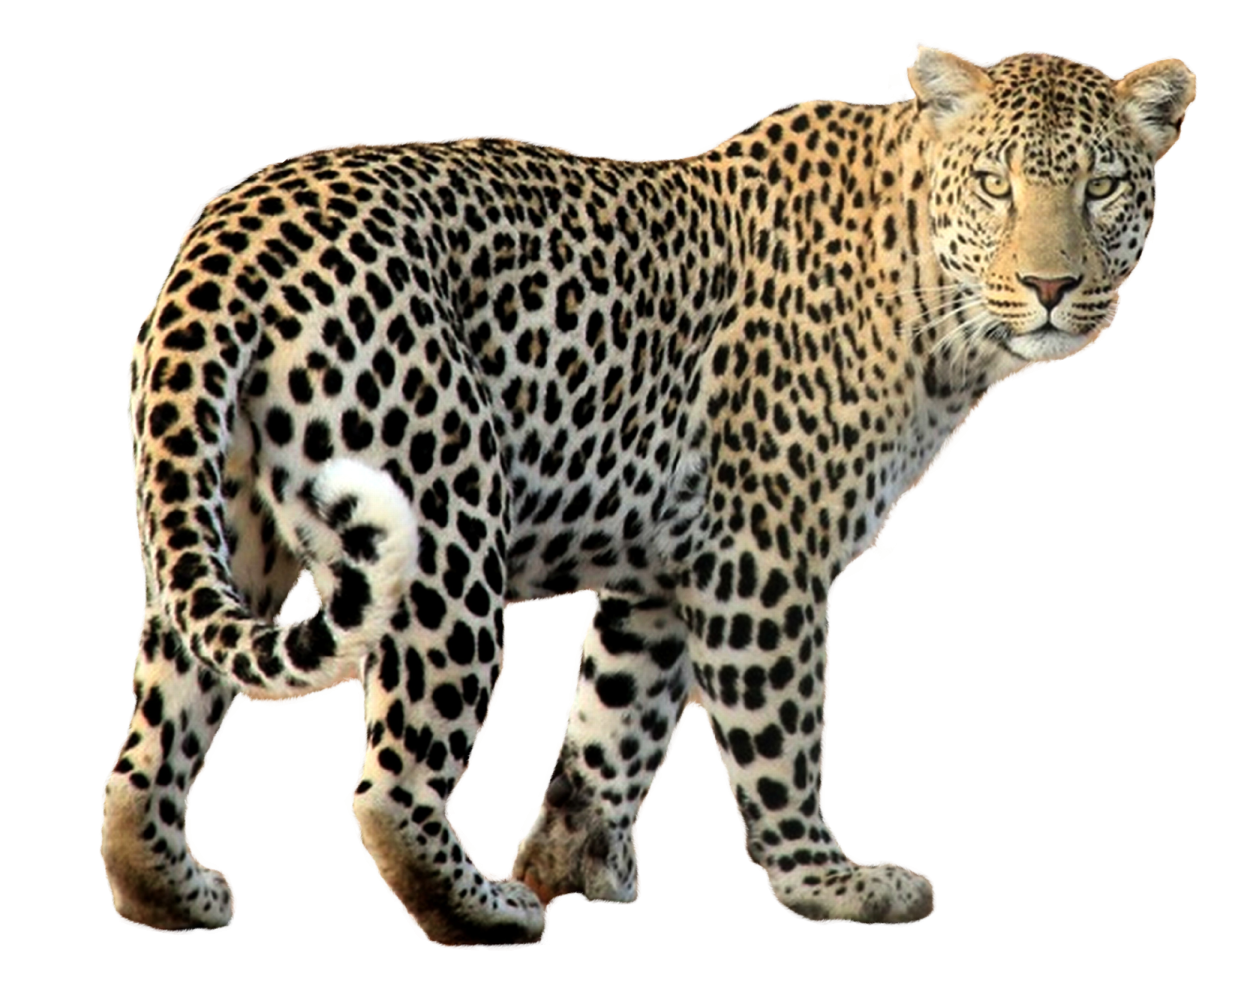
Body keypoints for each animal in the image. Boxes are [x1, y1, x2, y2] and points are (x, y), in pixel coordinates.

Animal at [102, 40, 1198, 947]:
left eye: (1102, 186)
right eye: (993, 185)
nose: (1051, 287)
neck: (932, 304)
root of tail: (229, 236)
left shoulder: (663, 571)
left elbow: (612, 722)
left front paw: (575, 863)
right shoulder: (764, 553)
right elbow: (780, 731)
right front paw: (829, 883)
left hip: (222, 524)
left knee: (150, 743)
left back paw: (173, 892)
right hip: (442, 530)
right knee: (388, 778)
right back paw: (482, 909)